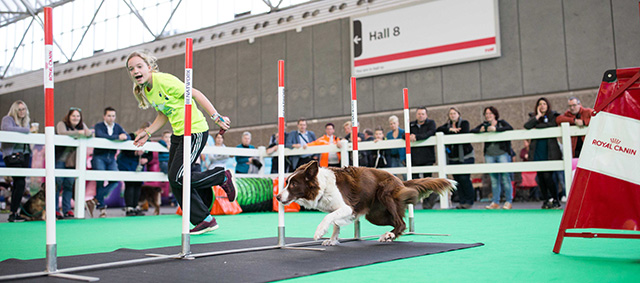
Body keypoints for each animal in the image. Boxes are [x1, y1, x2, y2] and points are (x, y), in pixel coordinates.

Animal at [276, 162, 456, 246]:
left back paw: (388, 235)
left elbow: (329, 218)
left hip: (385, 195)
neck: (322, 186)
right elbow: (336, 224)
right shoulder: (341, 209)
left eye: (293, 185)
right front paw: (332, 240)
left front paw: (320, 232)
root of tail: (401, 182)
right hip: (376, 215)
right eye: (286, 182)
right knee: (398, 223)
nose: (277, 197)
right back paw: (389, 235)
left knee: (401, 223)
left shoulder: (348, 207)